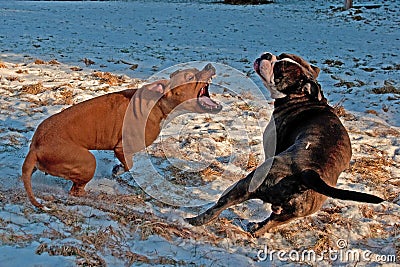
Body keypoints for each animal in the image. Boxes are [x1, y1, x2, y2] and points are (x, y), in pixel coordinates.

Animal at [21, 63, 222, 209]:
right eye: (190, 77)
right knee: (76, 190)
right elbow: (128, 164)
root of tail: (36, 148)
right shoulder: (121, 148)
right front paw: (117, 171)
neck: (157, 103)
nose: (210, 65)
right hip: (87, 162)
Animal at [188, 53, 384, 238]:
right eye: (281, 55)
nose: (267, 55)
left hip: (249, 183)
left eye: (279, 69)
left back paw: (193, 220)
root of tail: (307, 174)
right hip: (295, 212)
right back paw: (255, 228)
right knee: (270, 223)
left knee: (220, 206)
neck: (304, 98)